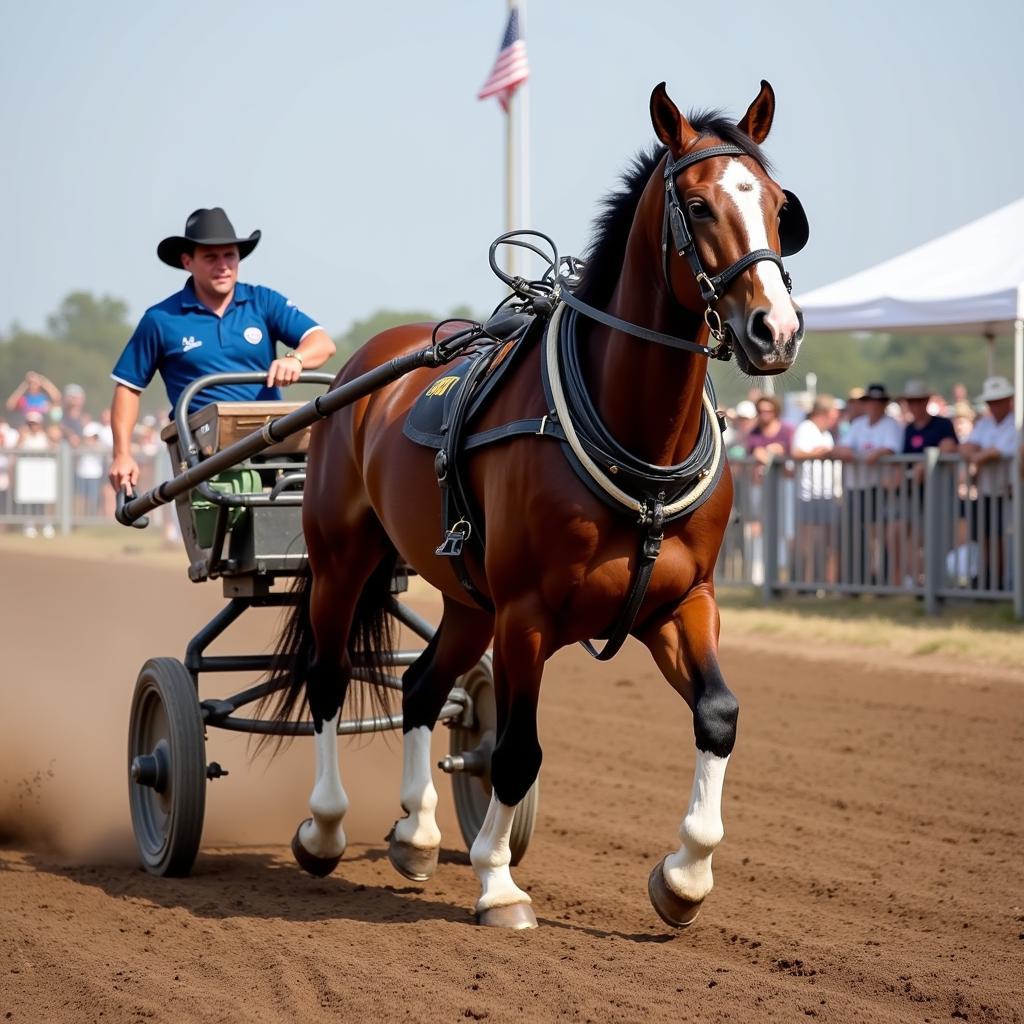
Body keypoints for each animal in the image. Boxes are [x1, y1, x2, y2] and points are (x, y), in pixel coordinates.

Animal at [264, 79, 806, 929]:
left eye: (781, 206)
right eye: (698, 205)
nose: (774, 330)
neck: (637, 445)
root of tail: (371, 362)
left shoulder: (682, 602)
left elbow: (719, 714)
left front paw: (685, 875)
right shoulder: (527, 615)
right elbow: (518, 749)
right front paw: (498, 881)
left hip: (467, 598)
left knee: (422, 687)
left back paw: (417, 833)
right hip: (342, 558)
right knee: (327, 675)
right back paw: (324, 828)